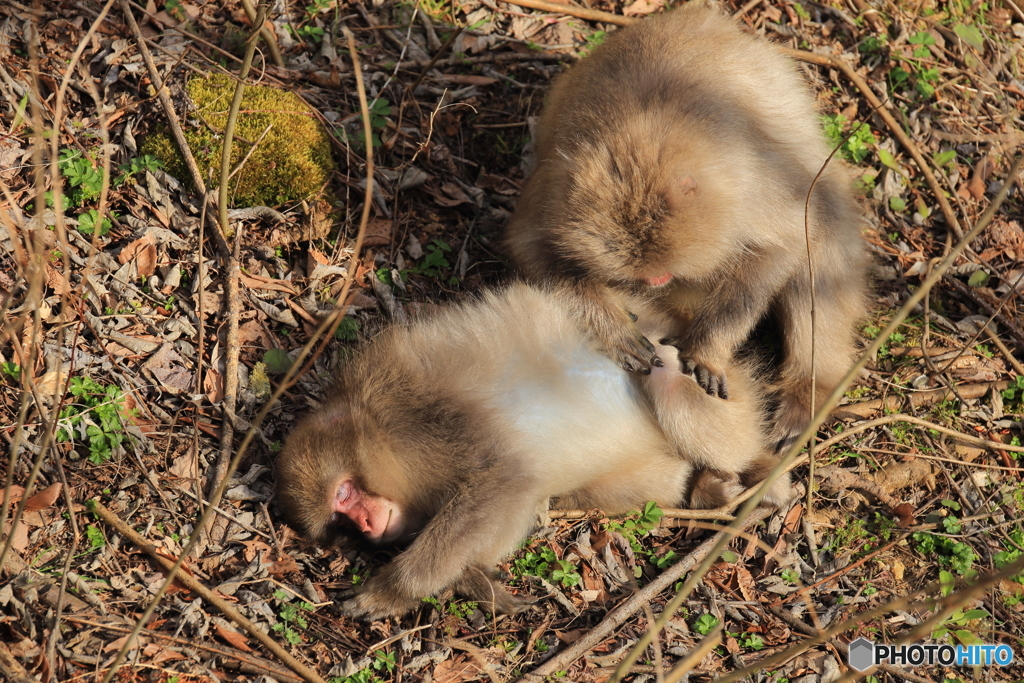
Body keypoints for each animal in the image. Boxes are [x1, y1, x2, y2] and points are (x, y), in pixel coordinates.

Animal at [274, 282, 790, 618]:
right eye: (340, 522)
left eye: (343, 495)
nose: (363, 524)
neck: (375, 428)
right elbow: (513, 497)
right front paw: (476, 582)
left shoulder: (423, 418)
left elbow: (501, 479)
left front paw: (392, 590)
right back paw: (705, 489)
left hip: (717, 389)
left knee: (666, 377)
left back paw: (767, 476)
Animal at [503, 6, 864, 454]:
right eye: (645, 276)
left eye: (664, 273)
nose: (656, 282)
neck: (644, 134)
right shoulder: (555, 189)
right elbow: (531, 248)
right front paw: (614, 327)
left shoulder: (751, 190)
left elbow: (784, 244)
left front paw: (707, 349)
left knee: (824, 229)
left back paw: (808, 390)